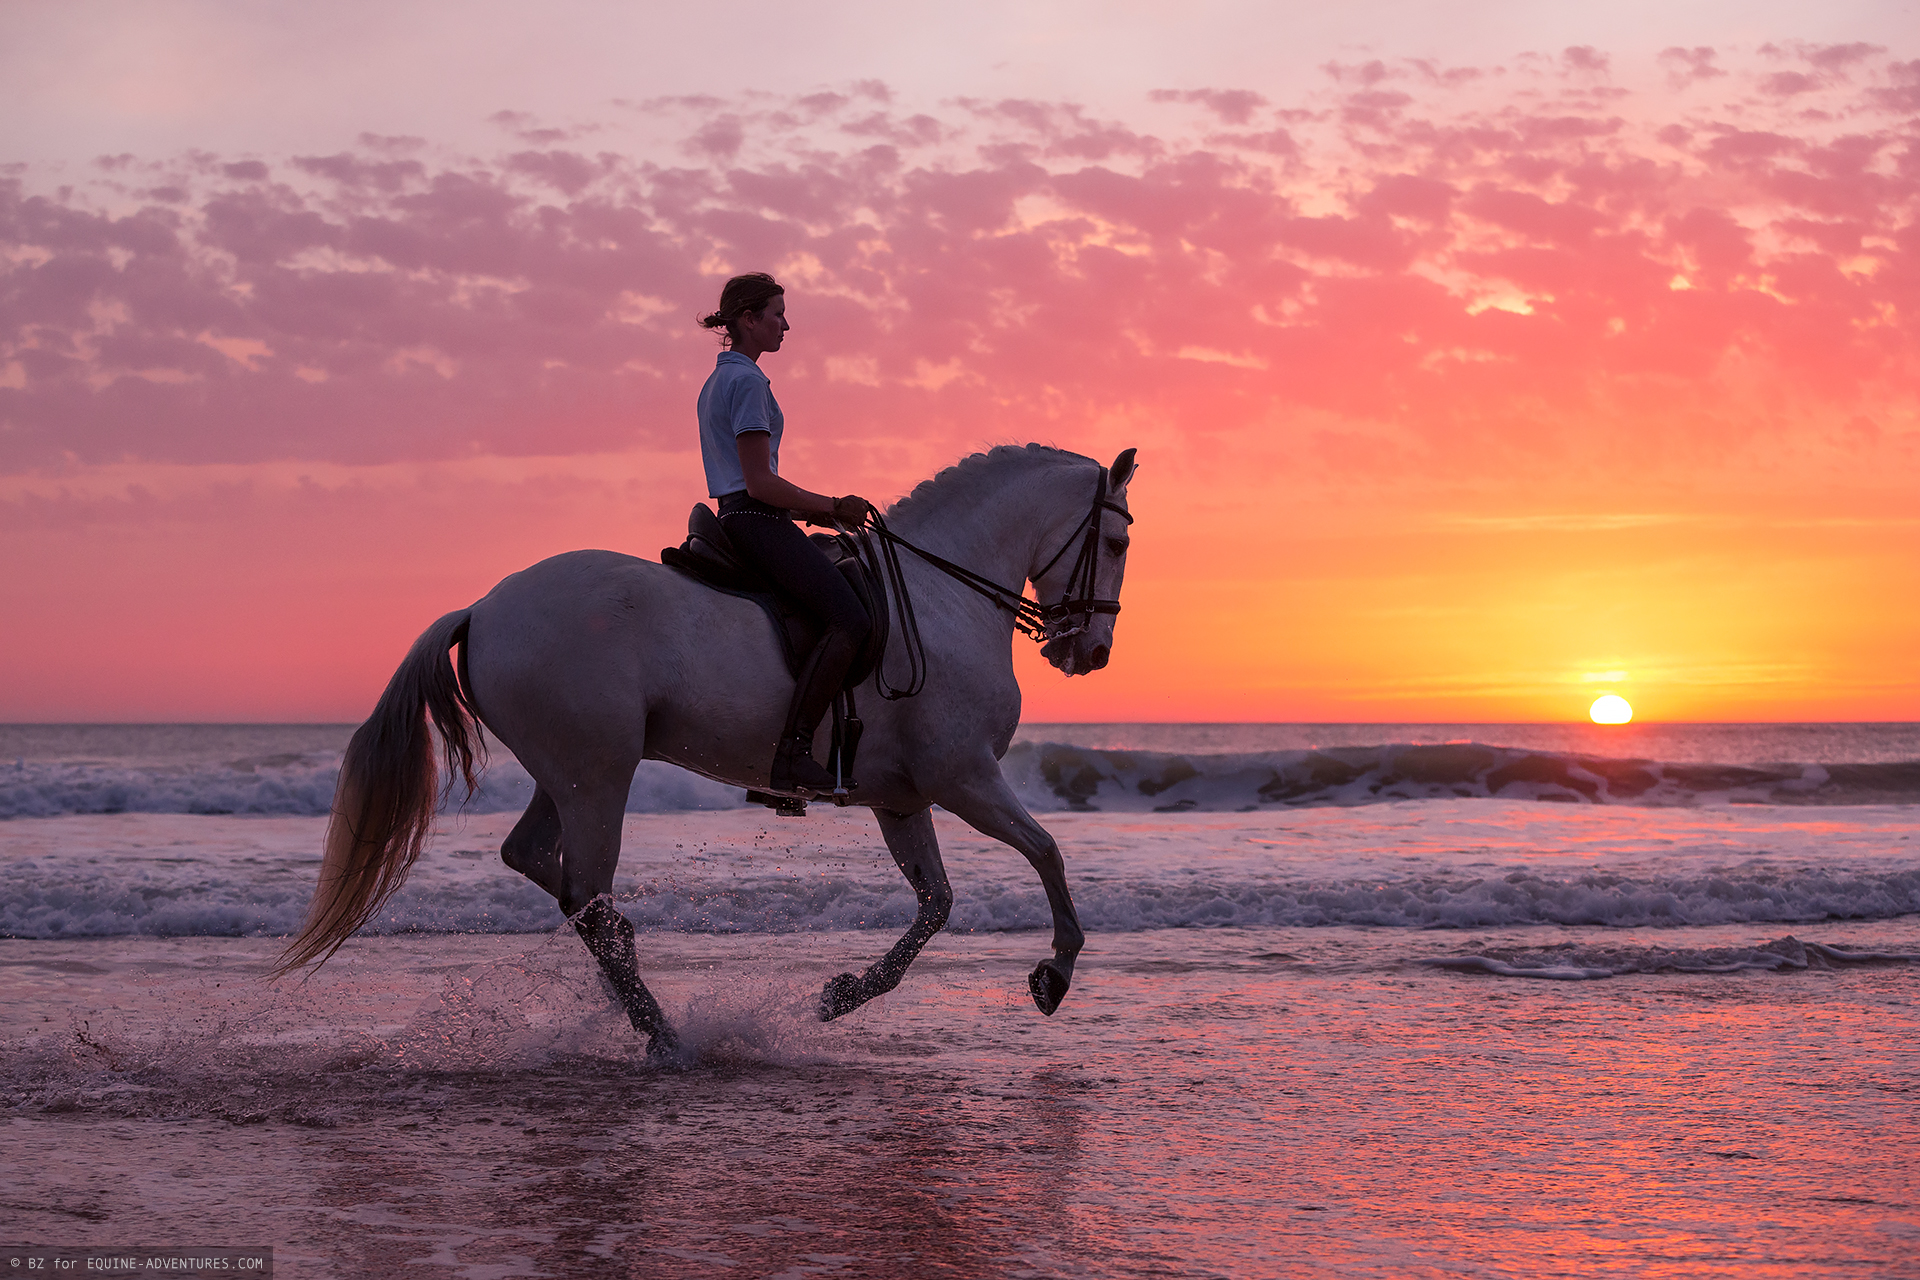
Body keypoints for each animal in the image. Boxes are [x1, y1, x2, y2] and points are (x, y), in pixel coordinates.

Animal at [275, 443, 1138, 1056]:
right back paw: (663, 1035)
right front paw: (1055, 973)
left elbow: (937, 903)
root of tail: (483, 608)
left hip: (569, 772)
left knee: (545, 867)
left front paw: (841, 995)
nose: (1092, 653)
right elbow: (1046, 850)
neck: (942, 598)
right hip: (599, 775)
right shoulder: (965, 777)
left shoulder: (901, 796)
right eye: (1120, 540)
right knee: (587, 891)